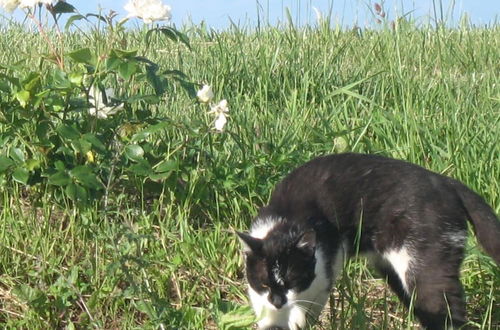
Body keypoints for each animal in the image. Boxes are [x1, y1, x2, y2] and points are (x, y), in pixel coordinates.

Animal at [236, 154, 498, 330]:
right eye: (264, 283)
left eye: (292, 280)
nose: (278, 301)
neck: (285, 220)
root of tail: (447, 183)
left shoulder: (322, 275)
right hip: (395, 271)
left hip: (425, 260)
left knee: (447, 307)